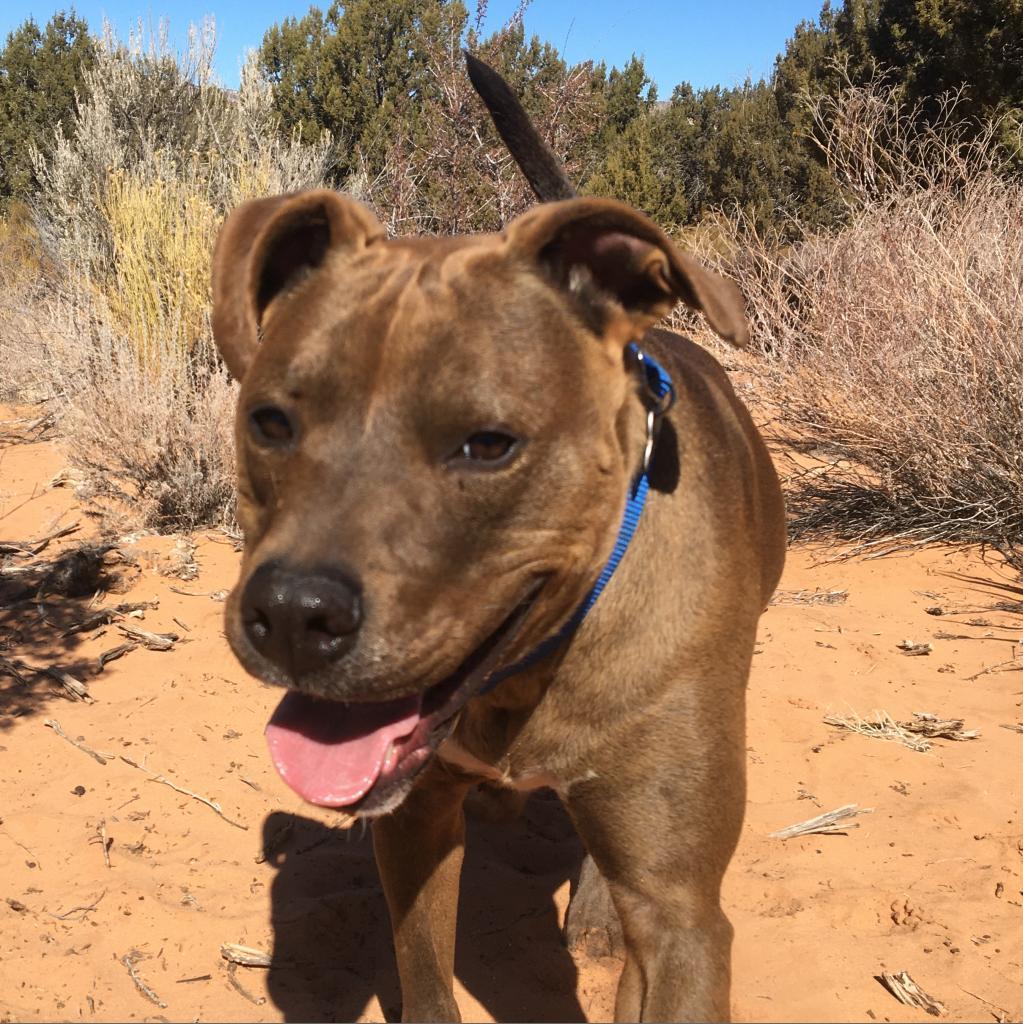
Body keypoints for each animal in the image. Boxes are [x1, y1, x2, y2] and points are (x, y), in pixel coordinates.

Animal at [207, 54, 782, 1024]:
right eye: (270, 421)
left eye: (487, 444)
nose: (289, 616)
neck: (538, 666)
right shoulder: (414, 821)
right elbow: (425, 978)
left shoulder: (680, 919)